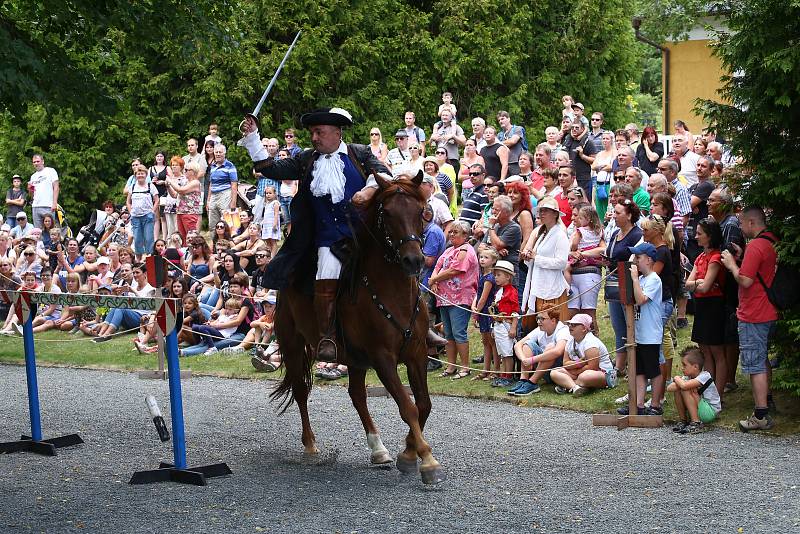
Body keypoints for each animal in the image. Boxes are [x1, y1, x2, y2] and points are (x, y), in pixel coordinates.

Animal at [268, 172, 444, 486]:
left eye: (421, 211)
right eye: (387, 213)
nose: (414, 261)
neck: (392, 292)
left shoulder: (416, 354)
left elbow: (423, 405)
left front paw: (408, 453)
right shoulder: (383, 358)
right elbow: (408, 406)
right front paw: (426, 460)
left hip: (355, 358)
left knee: (357, 396)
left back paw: (378, 449)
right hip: (293, 343)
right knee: (301, 390)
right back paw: (310, 446)